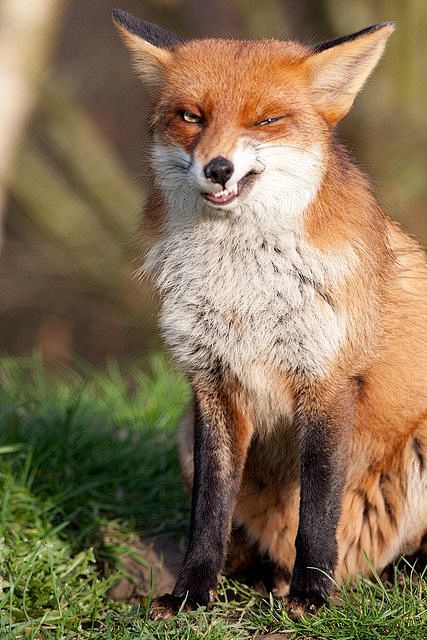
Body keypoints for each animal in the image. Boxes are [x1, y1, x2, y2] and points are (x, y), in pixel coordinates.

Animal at [113, 10, 427, 620]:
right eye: (191, 117)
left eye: (266, 119)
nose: (217, 168)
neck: (244, 293)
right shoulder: (212, 384)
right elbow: (209, 510)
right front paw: (191, 592)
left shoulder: (326, 380)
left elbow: (318, 507)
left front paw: (312, 593)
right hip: (184, 428)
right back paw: (263, 576)